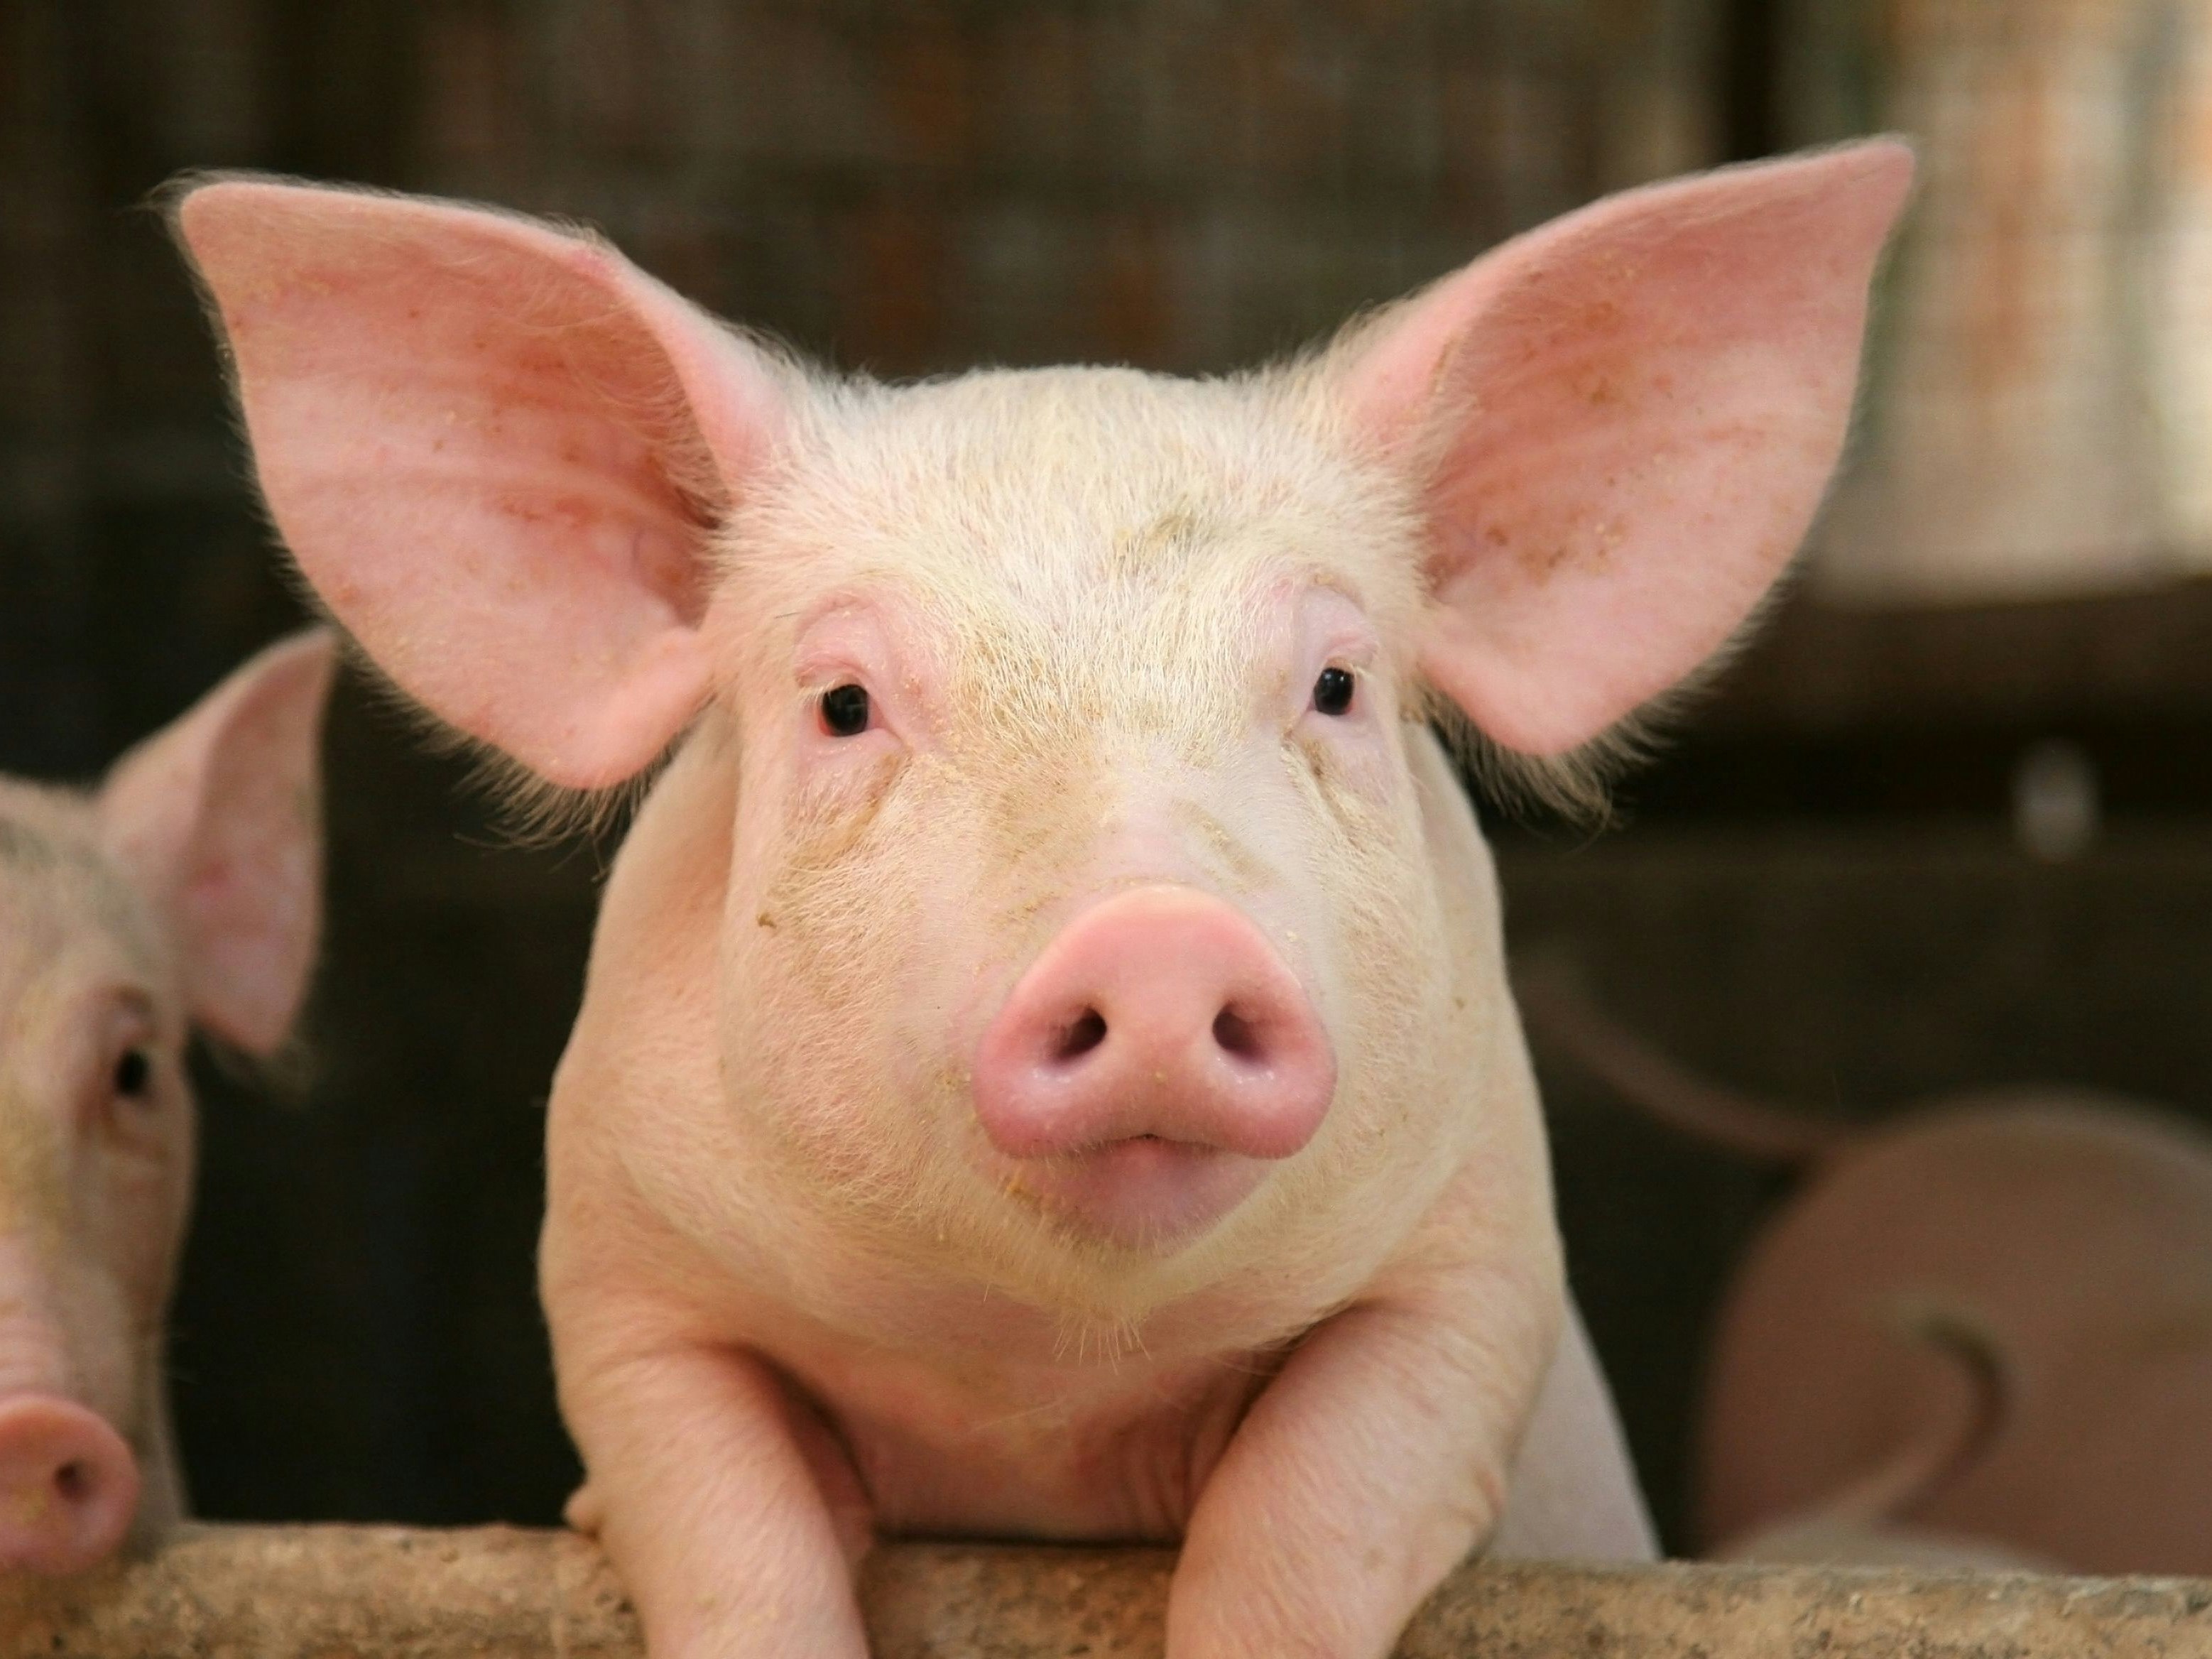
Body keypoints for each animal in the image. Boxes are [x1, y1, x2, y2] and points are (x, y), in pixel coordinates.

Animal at [171, 142, 1911, 1657]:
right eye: (845, 704)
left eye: (1337, 684)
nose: (1155, 937)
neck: (1044, 1387)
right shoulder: (617, 1275)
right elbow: (725, 1528)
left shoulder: (1480, 1264)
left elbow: (1311, 1512)